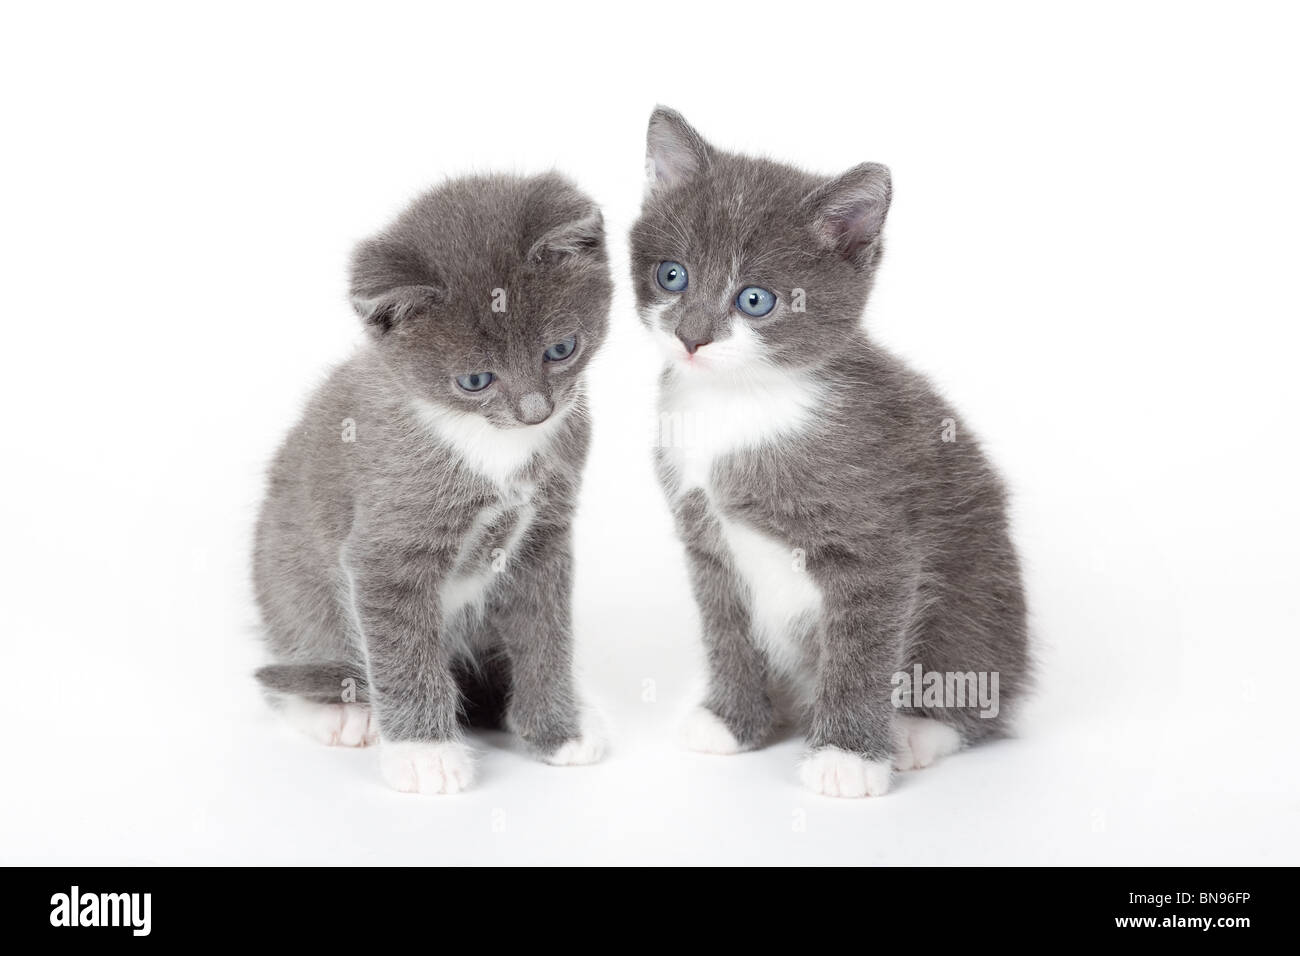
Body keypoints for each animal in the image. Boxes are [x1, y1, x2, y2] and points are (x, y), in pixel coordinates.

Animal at [260, 170, 618, 790]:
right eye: (475, 381)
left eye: (560, 349)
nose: (535, 412)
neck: (494, 447)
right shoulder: (387, 548)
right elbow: (402, 649)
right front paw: (424, 753)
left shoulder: (543, 538)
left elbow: (546, 634)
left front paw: (559, 729)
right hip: (290, 589)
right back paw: (340, 712)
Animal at [634, 110, 1029, 801]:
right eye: (671, 275)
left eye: (755, 300)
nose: (690, 337)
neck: (742, 406)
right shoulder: (704, 537)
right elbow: (726, 629)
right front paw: (731, 721)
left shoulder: (877, 543)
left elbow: (862, 651)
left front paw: (847, 758)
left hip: (980, 596)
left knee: (981, 687)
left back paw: (915, 733)